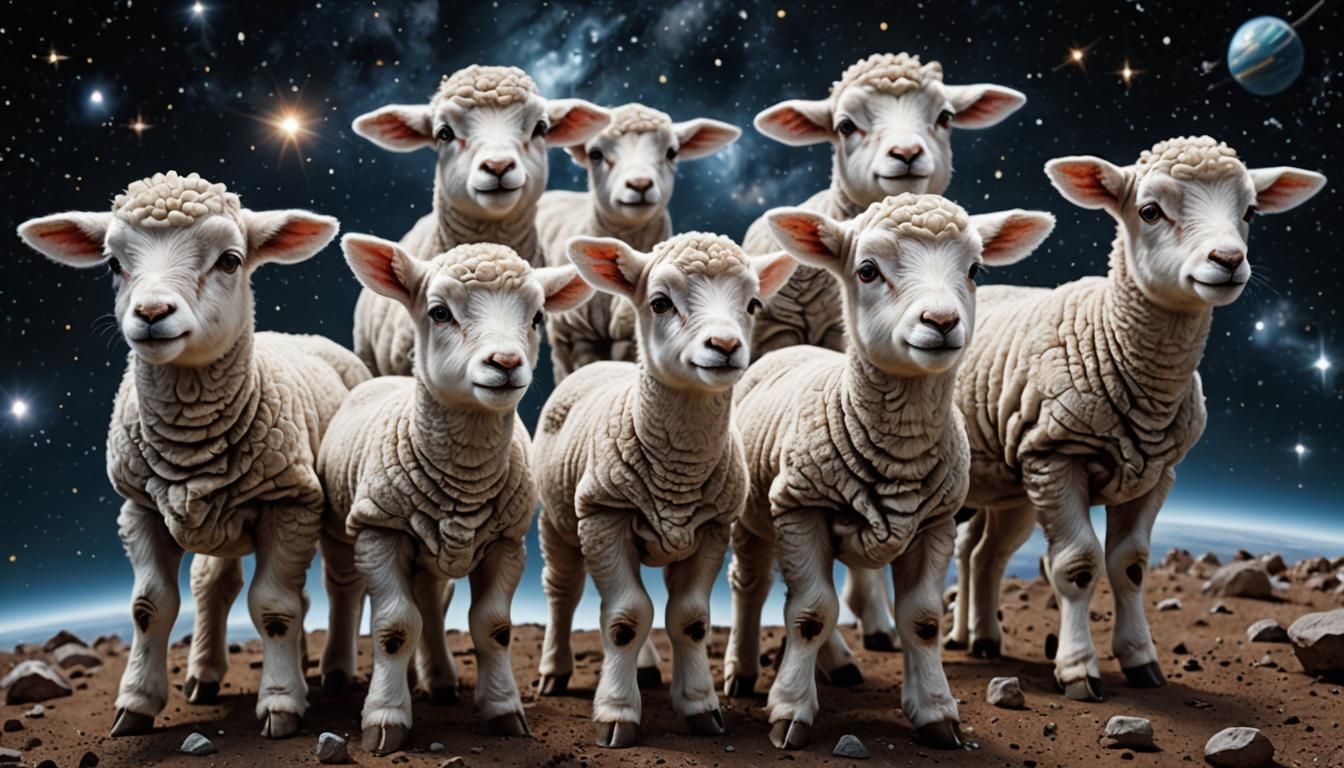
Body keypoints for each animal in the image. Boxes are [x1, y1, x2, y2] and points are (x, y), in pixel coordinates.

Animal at [16, 171, 368, 739]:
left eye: (229, 260)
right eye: (112, 264)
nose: (151, 313)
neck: (189, 433)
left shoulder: (291, 504)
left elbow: (274, 607)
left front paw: (280, 703)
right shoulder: (139, 508)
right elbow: (149, 607)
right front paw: (136, 703)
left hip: (332, 505)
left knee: (339, 583)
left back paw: (334, 671)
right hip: (214, 513)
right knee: (216, 584)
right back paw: (206, 674)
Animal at [317, 235, 592, 754]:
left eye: (537, 317)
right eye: (440, 312)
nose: (506, 364)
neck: (464, 475)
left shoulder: (507, 542)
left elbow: (493, 627)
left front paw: (503, 710)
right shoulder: (379, 530)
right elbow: (394, 627)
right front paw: (385, 719)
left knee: (428, 599)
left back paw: (440, 681)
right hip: (344, 530)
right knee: (345, 590)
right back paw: (337, 675)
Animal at [532, 232, 795, 749]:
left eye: (753, 304)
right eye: (659, 302)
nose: (725, 345)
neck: (678, 468)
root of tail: (599, 366)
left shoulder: (712, 527)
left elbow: (688, 619)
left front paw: (700, 706)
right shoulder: (604, 515)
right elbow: (625, 618)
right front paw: (617, 713)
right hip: (558, 519)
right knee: (563, 590)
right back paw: (554, 671)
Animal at [723, 194, 1055, 751]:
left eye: (975, 270)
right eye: (867, 270)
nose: (941, 320)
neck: (896, 449)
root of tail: (790, 351)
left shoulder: (935, 524)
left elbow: (921, 620)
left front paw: (936, 713)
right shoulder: (801, 508)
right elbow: (810, 614)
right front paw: (790, 710)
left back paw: (840, 665)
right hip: (756, 516)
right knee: (751, 585)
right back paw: (742, 671)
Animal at [943, 136, 1325, 702]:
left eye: (1251, 212)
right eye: (1149, 211)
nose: (1229, 260)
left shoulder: (1155, 473)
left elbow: (1131, 566)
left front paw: (1142, 660)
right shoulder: (1056, 458)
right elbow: (1077, 565)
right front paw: (1078, 670)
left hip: (1007, 486)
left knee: (983, 553)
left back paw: (983, 637)